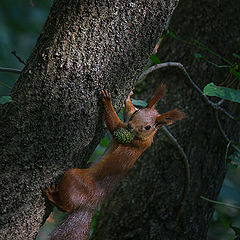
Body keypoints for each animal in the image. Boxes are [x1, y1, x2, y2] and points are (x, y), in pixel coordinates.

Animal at [44, 84, 185, 240]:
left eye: (148, 127)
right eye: (138, 112)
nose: (130, 127)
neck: (145, 139)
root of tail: (92, 204)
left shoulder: (131, 141)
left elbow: (114, 125)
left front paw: (107, 101)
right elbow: (127, 113)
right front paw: (129, 97)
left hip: (77, 181)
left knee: (67, 204)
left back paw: (53, 197)